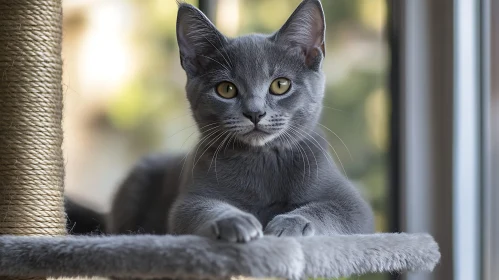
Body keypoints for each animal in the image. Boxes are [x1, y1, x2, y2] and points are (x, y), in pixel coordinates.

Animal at [64, 0, 376, 242]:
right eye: (226, 89)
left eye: (280, 85)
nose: (255, 112)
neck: (262, 159)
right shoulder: (189, 198)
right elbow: (198, 209)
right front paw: (234, 221)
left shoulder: (354, 203)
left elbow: (330, 209)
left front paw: (290, 224)